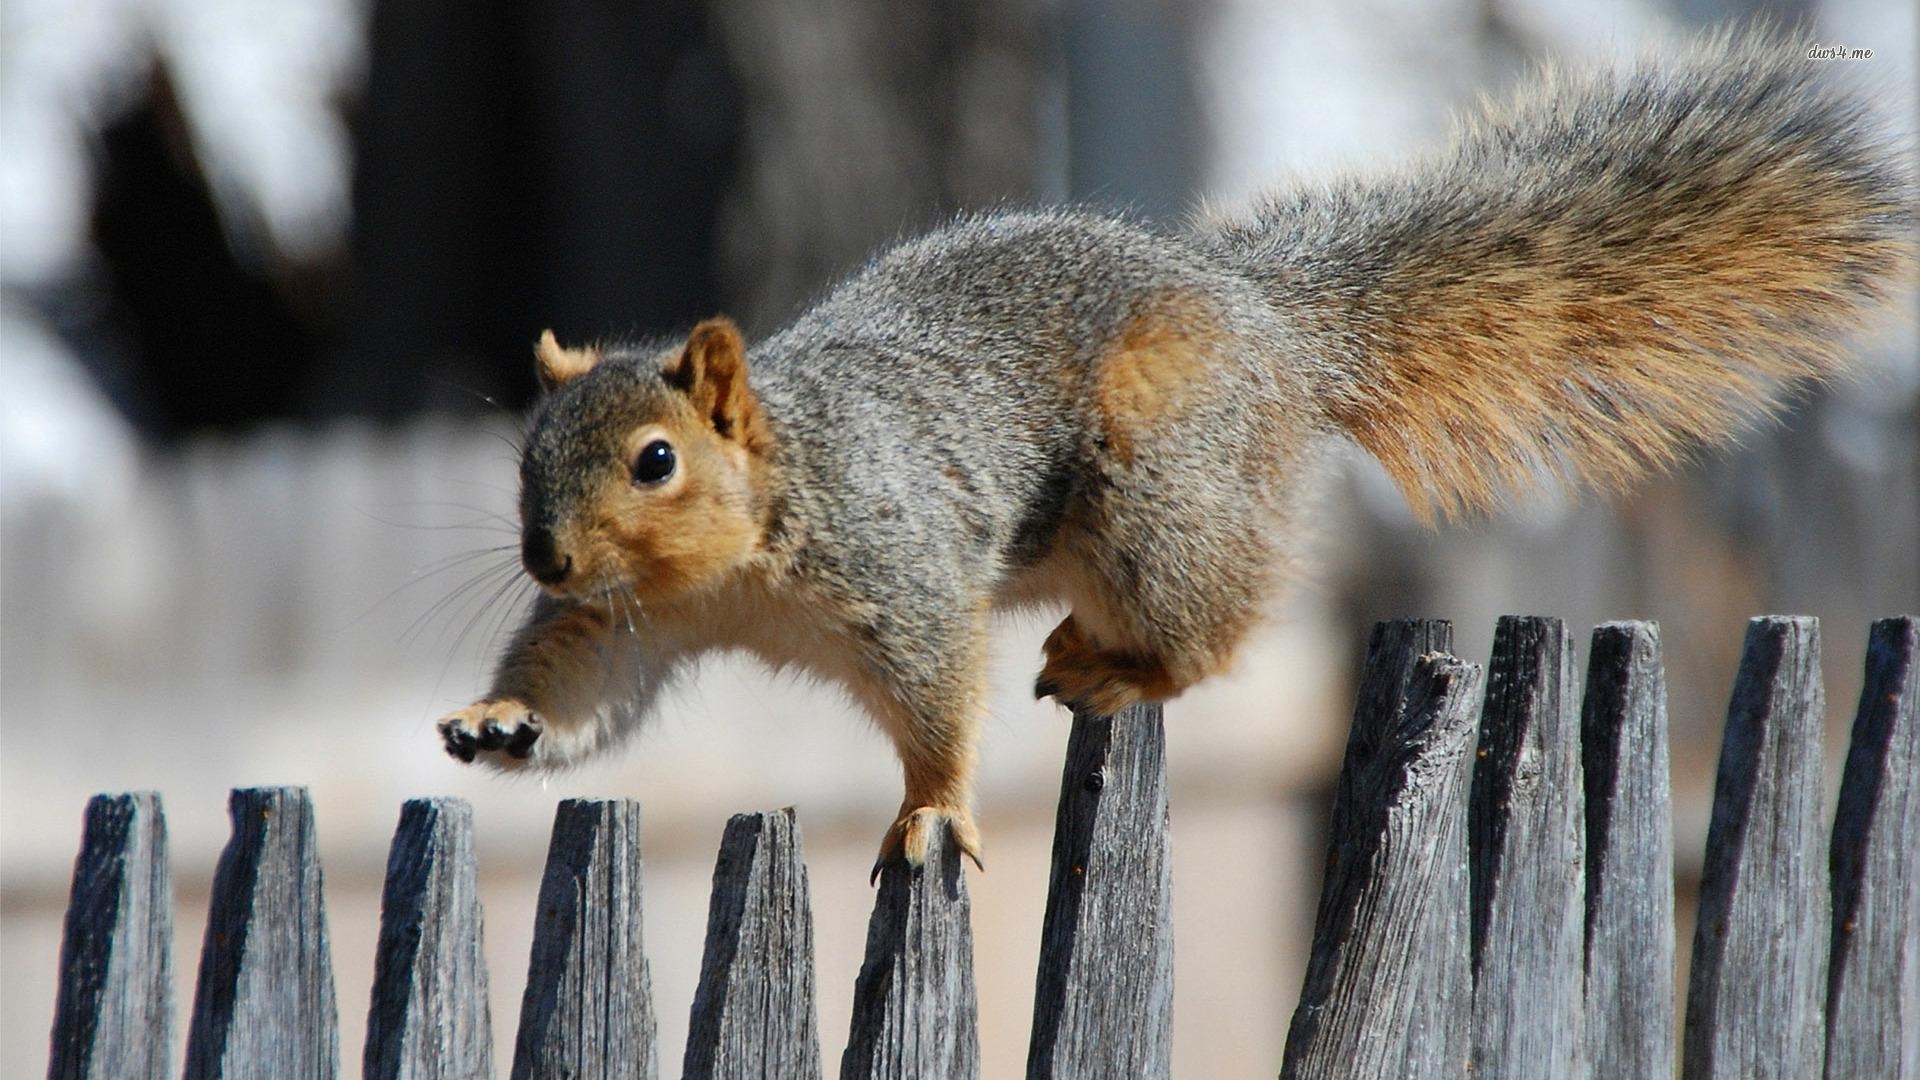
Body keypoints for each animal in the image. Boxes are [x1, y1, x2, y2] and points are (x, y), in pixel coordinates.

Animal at [439, 33, 1920, 868]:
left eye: (655, 461)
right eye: (527, 453)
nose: (544, 554)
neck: (739, 557)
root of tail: (1274, 327)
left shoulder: (901, 570)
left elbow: (937, 703)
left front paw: (933, 813)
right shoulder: (630, 622)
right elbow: (588, 685)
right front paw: (502, 719)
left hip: (1161, 488)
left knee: (1218, 628)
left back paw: (1122, 663)